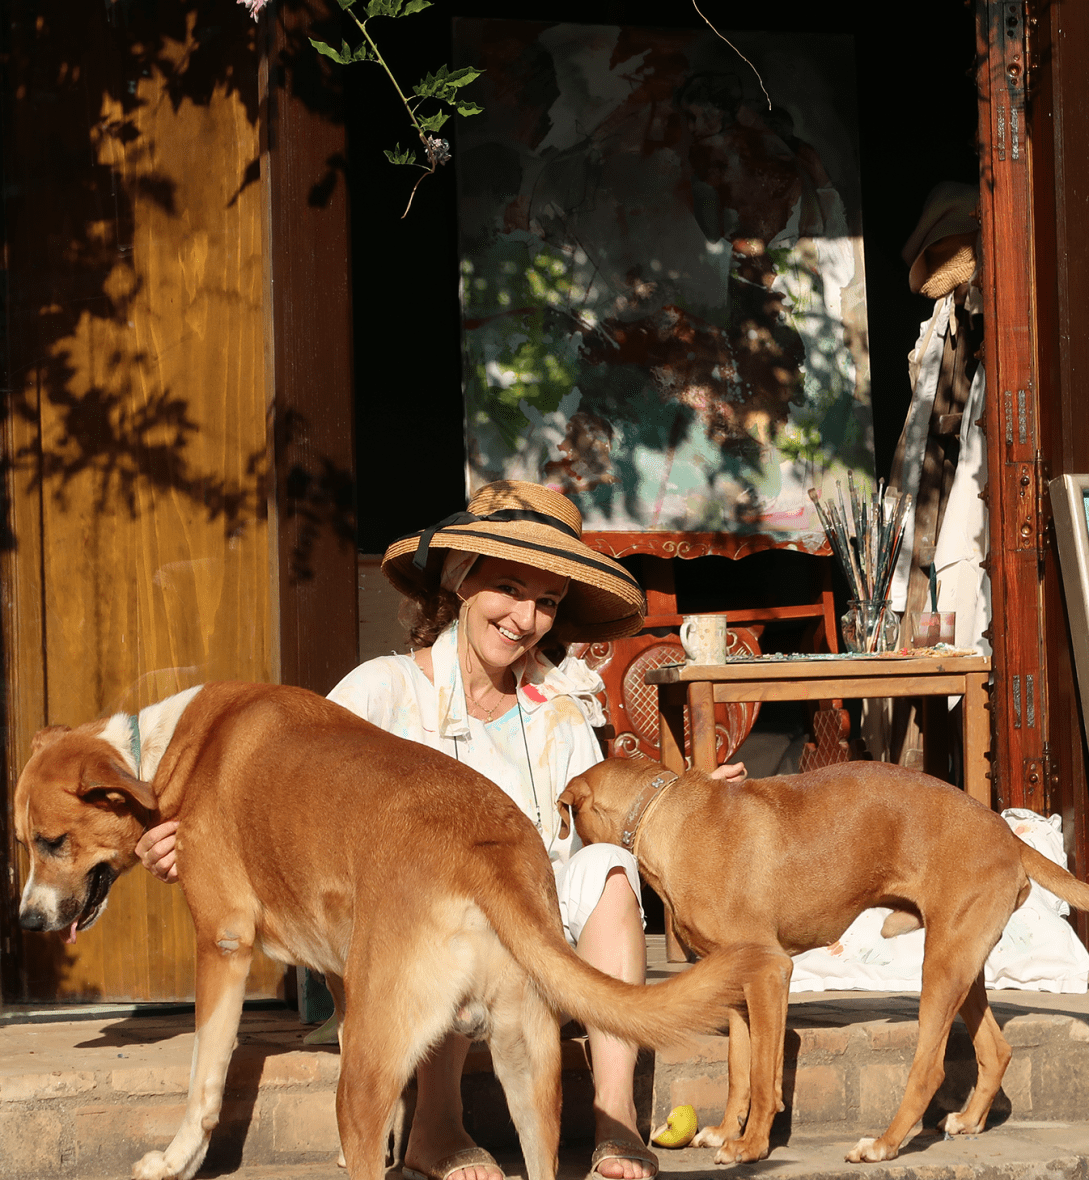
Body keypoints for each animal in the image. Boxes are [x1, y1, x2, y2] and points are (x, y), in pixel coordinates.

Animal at [558, 757, 1089, 1164]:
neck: (664, 812)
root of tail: (1003, 829)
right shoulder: (734, 986)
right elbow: (738, 1070)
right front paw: (728, 1132)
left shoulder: (771, 972)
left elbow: (764, 1073)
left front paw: (750, 1147)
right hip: (963, 962)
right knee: (996, 1050)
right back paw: (970, 1121)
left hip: (941, 967)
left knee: (929, 1071)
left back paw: (883, 1145)